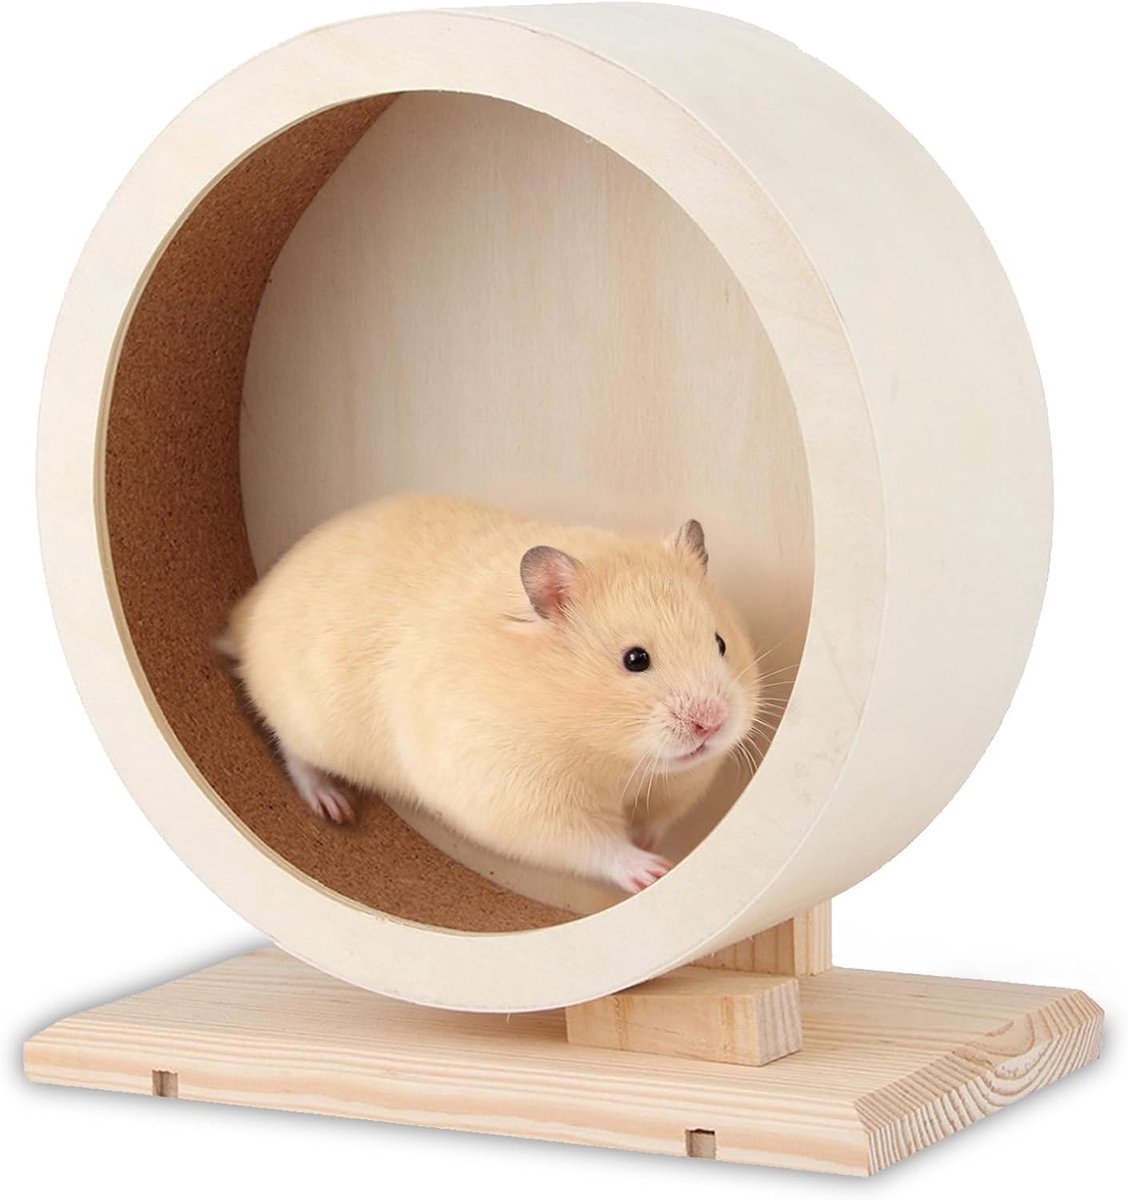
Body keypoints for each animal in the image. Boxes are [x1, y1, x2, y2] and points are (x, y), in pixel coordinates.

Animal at [223, 494, 762, 893]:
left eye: (720, 643)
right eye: (635, 659)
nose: (711, 723)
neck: (611, 755)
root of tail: (248, 610)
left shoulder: (679, 786)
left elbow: (658, 819)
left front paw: (654, 844)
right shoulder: (524, 799)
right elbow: (595, 845)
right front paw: (653, 871)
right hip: (307, 720)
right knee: (294, 754)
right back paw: (334, 806)